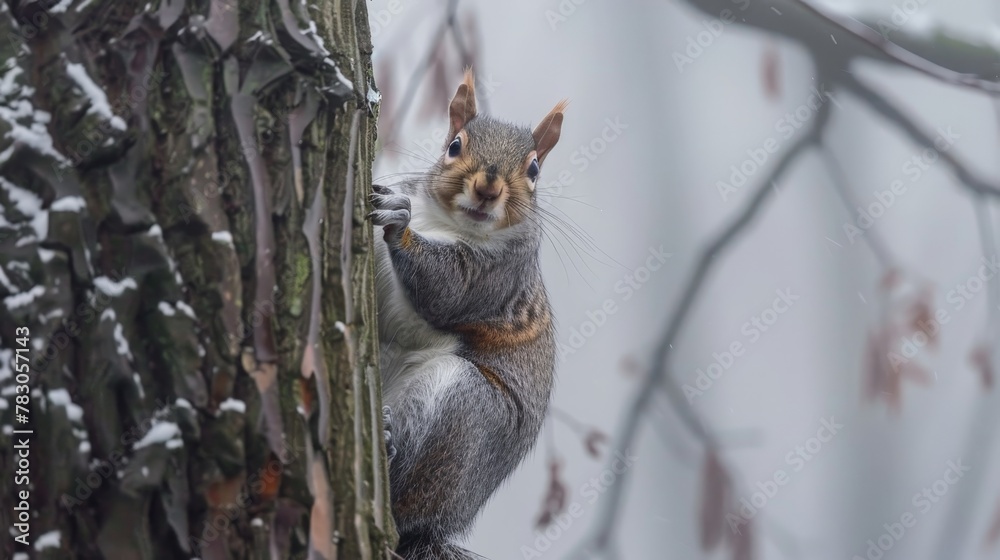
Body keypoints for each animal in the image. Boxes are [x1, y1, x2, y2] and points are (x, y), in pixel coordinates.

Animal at [370, 71, 572, 560]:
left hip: (463, 411)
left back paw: (387, 446)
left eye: (534, 170)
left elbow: (445, 290)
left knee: (405, 507)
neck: (447, 224)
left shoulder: (495, 278)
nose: (488, 188)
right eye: (454, 145)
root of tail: (437, 528)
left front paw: (399, 225)